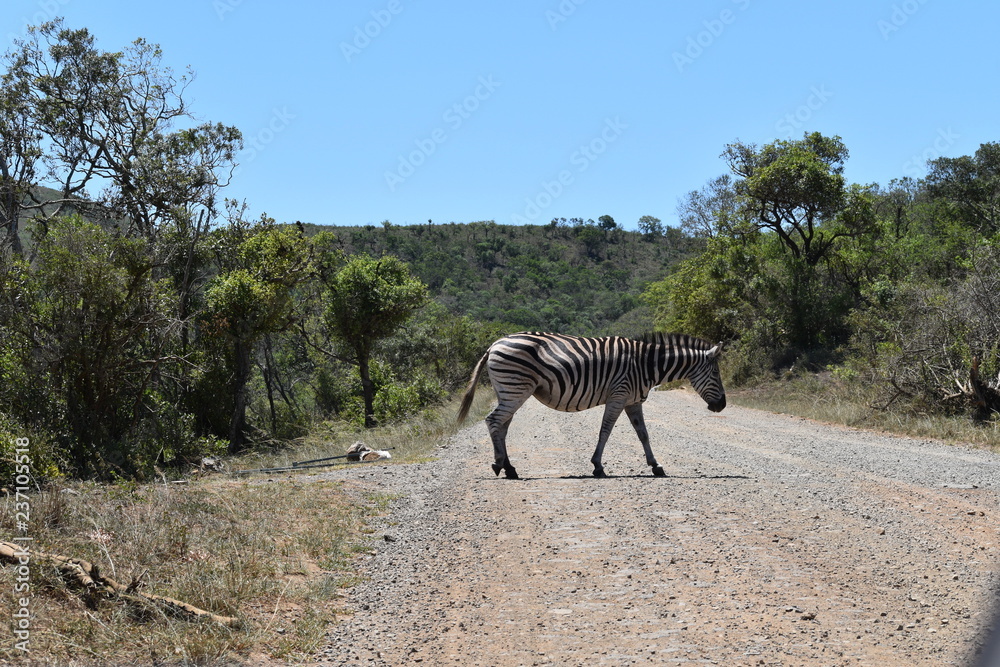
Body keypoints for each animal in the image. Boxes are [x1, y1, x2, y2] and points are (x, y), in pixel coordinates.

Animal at [457, 331, 726, 479]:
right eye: (716, 373)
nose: (722, 405)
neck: (645, 365)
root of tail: (495, 343)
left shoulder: (633, 401)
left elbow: (643, 434)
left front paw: (656, 466)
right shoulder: (618, 395)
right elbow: (605, 432)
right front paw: (598, 466)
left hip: (508, 391)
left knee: (502, 426)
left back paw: (510, 468)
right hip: (515, 389)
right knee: (493, 421)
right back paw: (498, 464)